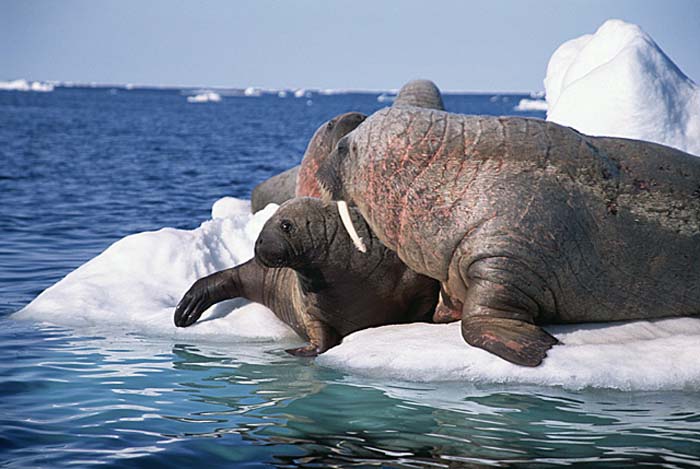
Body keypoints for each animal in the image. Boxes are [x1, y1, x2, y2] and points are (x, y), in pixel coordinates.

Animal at [175, 197, 438, 354]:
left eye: (286, 225)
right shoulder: (311, 311)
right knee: (231, 276)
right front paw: (302, 350)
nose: (258, 244)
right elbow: (320, 336)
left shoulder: (419, 285)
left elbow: (422, 304)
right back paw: (185, 311)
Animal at [320, 106, 700, 366]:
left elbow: (483, 312)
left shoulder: (507, 252)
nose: (322, 170)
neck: (443, 179)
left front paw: (531, 348)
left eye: (341, 148)